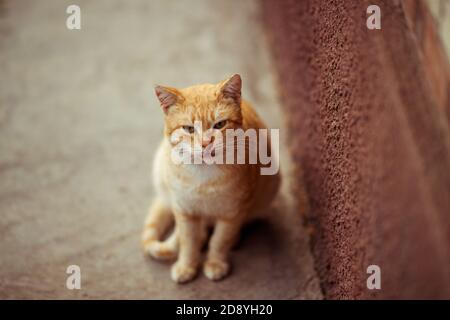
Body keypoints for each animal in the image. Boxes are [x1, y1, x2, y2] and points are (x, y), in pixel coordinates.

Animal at [142, 74, 280, 282]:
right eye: (189, 129)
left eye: (220, 125)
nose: (206, 143)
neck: (203, 177)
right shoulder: (184, 210)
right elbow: (188, 242)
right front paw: (187, 266)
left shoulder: (232, 213)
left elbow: (220, 240)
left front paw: (215, 263)